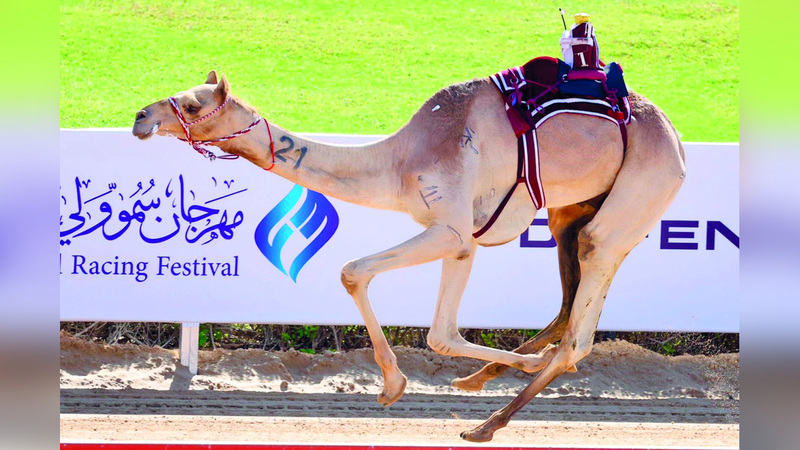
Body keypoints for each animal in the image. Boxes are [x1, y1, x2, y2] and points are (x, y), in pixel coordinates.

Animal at [133, 68, 688, 442]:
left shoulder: (453, 231)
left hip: (637, 194)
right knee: (568, 304)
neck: (400, 160)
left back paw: (491, 418)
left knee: (581, 327)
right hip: (569, 212)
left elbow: (365, 279)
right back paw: (483, 384)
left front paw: (395, 384)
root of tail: (677, 139)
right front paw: (395, 385)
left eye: (193, 104)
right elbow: (424, 321)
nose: (141, 117)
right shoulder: (458, 238)